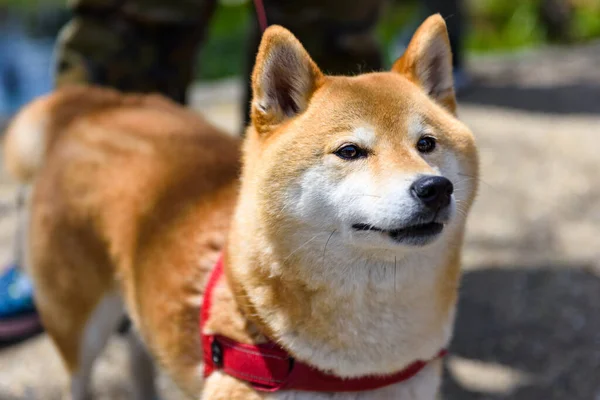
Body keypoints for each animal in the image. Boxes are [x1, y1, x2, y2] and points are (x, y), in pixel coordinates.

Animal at [2, 14, 476, 400]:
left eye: (426, 144)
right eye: (350, 151)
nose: (435, 188)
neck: (355, 369)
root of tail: (99, 106)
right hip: (76, 322)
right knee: (79, 376)